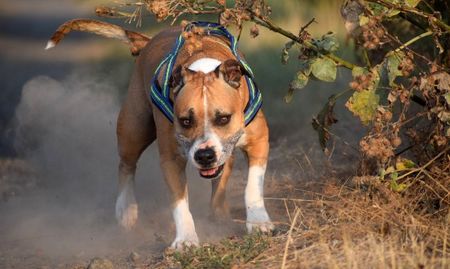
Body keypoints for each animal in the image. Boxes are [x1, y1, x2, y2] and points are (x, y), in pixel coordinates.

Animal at [46, 19, 274, 249]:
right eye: (185, 121)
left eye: (224, 118)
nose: (204, 155)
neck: (202, 66)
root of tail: (147, 41)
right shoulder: (170, 159)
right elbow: (179, 202)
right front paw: (185, 239)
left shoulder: (259, 141)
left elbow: (253, 186)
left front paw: (258, 222)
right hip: (134, 129)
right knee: (126, 165)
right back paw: (126, 209)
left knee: (221, 177)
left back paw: (219, 213)